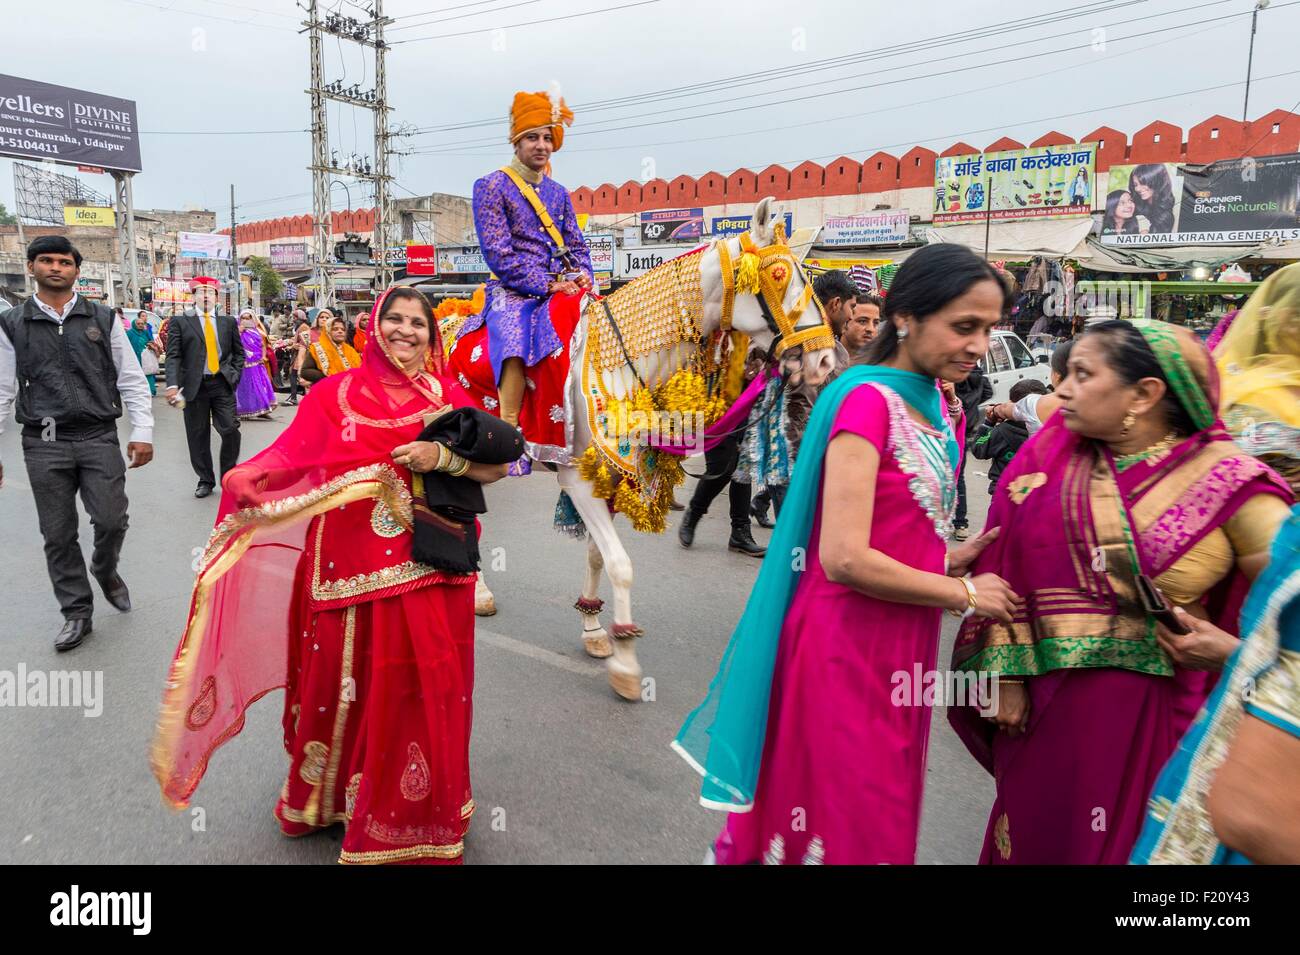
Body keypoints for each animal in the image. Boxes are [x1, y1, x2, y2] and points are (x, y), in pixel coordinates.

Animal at [478, 196, 832, 701]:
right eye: (780, 274)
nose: (826, 359)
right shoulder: (577, 479)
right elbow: (621, 564)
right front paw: (626, 662)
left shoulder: (604, 477)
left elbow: (598, 555)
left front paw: (594, 628)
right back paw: (476, 592)